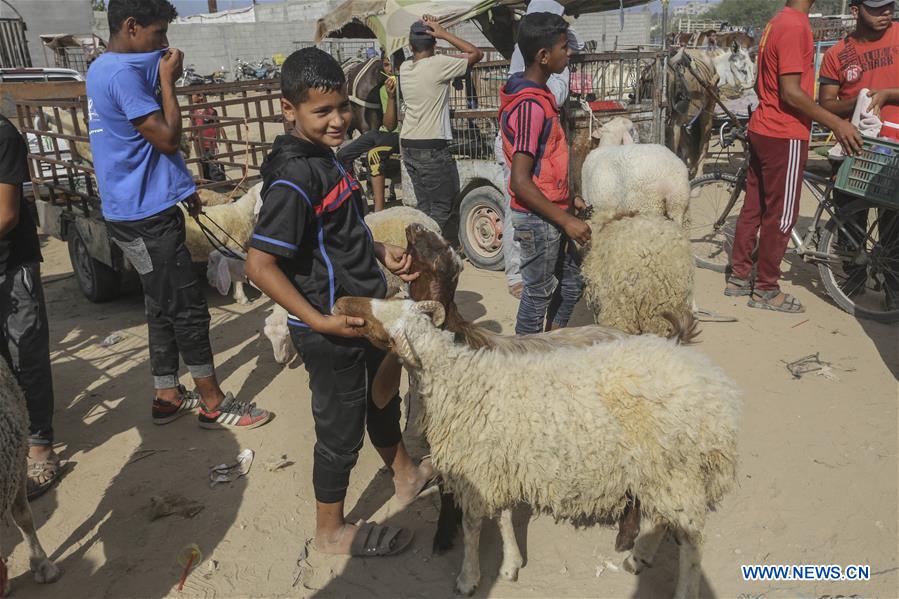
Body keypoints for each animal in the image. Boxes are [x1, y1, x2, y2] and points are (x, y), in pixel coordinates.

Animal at [334, 298, 740, 599]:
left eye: (379, 323)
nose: (341, 302)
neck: (458, 379)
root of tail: (713, 385)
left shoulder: (477, 466)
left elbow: (472, 525)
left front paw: (468, 578)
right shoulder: (495, 465)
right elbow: (502, 516)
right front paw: (511, 564)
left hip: (678, 466)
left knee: (691, 541)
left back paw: (680, 587)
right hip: (659, 468)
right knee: (660, 516)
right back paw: (638, 558)